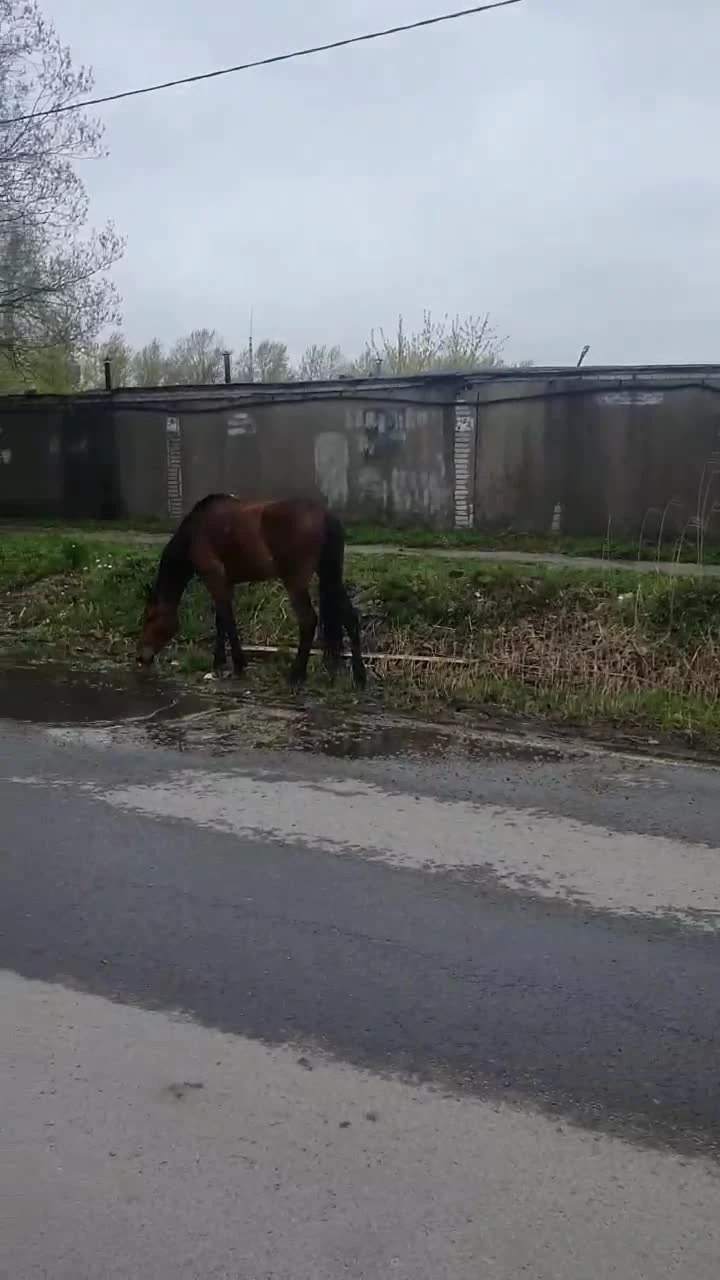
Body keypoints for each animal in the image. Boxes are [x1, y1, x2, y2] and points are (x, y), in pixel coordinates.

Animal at [134, 491, 363, 691]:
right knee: (350, 617)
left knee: (308, 621)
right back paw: (360, 676)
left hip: (296, 581)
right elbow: (221, 620)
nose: (141, 657)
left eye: (149, 618)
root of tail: (324, 515)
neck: (195, 531)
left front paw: (238, 664)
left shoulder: (214, 578)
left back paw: (296, 675)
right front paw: (219, 663)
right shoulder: (226, 582)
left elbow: (227, 619)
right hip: (330, 576)